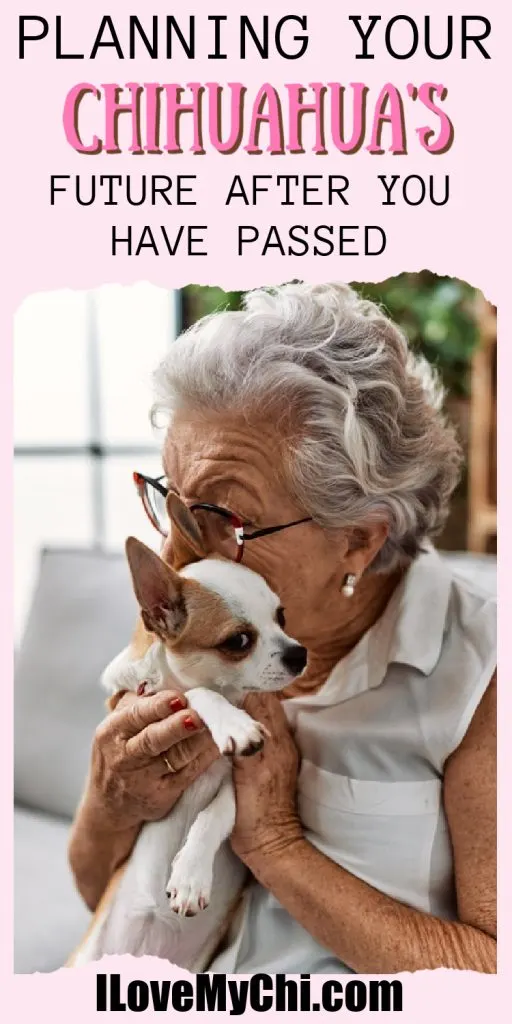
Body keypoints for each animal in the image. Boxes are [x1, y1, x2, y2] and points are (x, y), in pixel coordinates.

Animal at [71, 493, 303, 966]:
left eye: (282, 616)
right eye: (238, 642)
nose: (300, 654)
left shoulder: (241, 784)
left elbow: (215, 814)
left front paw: (191, 875)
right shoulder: (162, 699)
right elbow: (197, 694)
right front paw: (230, 719)